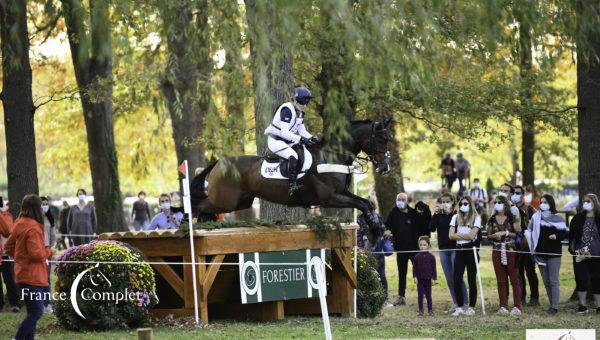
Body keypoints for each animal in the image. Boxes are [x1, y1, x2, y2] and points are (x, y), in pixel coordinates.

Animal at [190, 119, 392, 228]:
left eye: (388, 139)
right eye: (381, 139)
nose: (385, 168)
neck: (332, 155)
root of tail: (219, 163)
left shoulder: (342, 192)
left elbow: (366, 203)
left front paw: (376, 223)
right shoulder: (330, 198)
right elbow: (362, 204)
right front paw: (376, 225)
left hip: (241, 201)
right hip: (226, 201)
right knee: (200, 205)